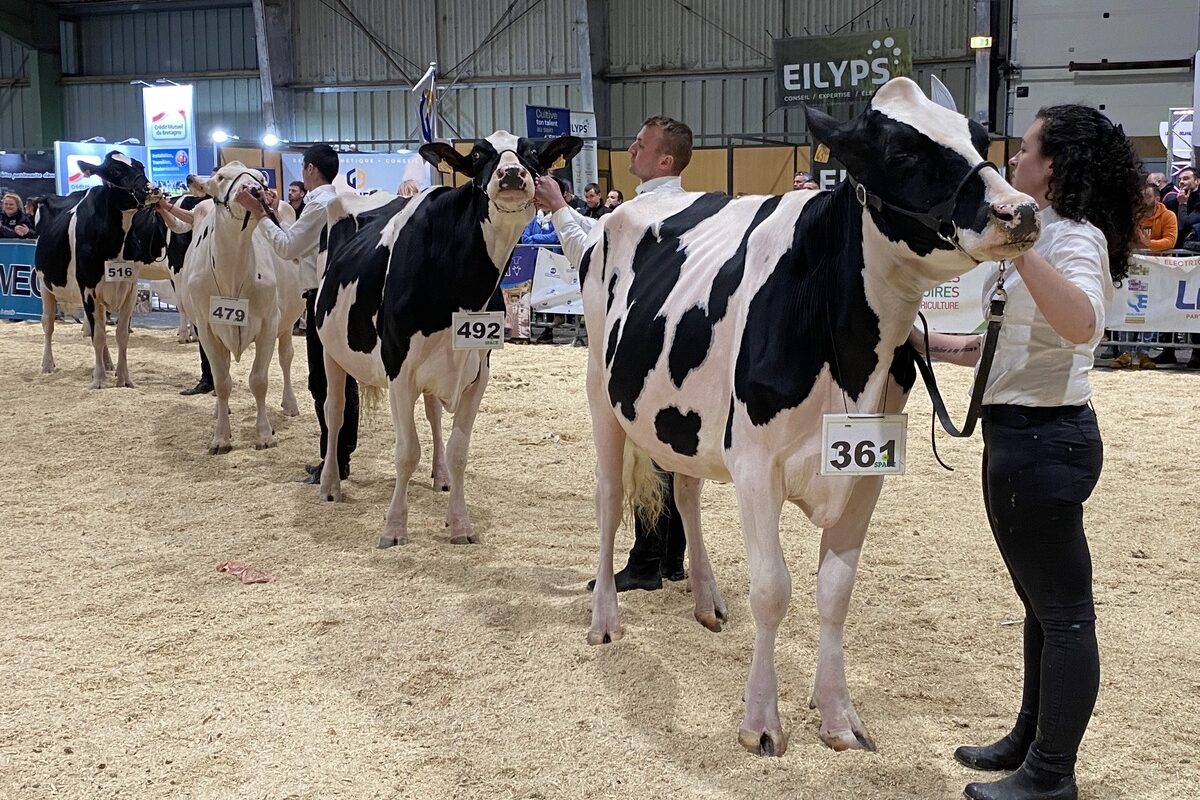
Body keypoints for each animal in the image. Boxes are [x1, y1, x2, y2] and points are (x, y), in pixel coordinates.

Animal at [34, 151, 159, 388]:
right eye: (114, 171)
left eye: (140, 166)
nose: (151, 189)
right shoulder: (88, 289)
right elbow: (98, 335)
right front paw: (99, 380)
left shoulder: (130, 287)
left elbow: (120, 334)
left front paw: (124, 378)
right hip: (44, 284)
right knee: (48, 324)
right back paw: (46, 365)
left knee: (99, 324)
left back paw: (108, 363)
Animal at [176, 163, 304, 453]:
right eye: (221, 177)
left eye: (259, 178)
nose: (255, 190)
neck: (232, 271)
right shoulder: (207, 328)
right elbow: (222, 382)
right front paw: (221, 437)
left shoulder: (269, 323)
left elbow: (259, 381)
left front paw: (265, 434)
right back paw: (218, 411)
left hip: (287, 322)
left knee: (286, 357)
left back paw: (290, 404)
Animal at [313, 131, 582, 547]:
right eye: (479, 155)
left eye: (532, 153)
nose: (511, 173)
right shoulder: (398, 369)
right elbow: (406, 451)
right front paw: (394, 528)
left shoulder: (477, 371)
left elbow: (458, 450)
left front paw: (459, 523)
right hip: (330, 348)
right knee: (336, 410)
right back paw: (329, 486)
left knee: (433, 415)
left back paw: (439, 478)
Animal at [581, 78, 1041, 756]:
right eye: (902, 154)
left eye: (982, 138)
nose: (1022, 211)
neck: (845, 349)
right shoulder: (755, 466)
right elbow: (773, 590)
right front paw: (760, 723)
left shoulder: (866, 472)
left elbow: (835, 592)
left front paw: (837, 716)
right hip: (601, 391)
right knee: (611, 500)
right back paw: (605, 620)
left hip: (682, 419)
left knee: (685, 491)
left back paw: (707, 600)